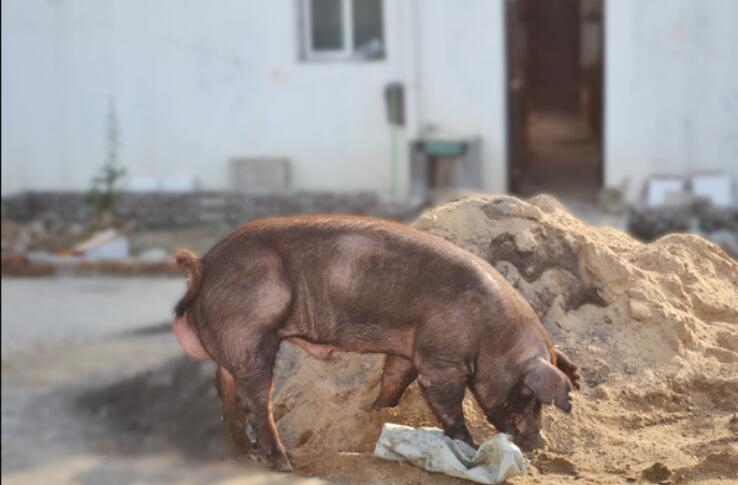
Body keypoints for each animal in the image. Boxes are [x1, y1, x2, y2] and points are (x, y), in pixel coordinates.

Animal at [170, 215, 576, 468]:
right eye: (527, 393)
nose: (539, 443)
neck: (491, 335)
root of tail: (205, 265)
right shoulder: (441, 359)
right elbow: (447, 402)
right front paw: (471, 447)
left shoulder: (411, 350)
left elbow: (394, 379)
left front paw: (377, 413)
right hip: (250, 333)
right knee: (255, 400)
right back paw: (283, 462)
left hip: (232, 343)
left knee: (227, 394)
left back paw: (239, 452)